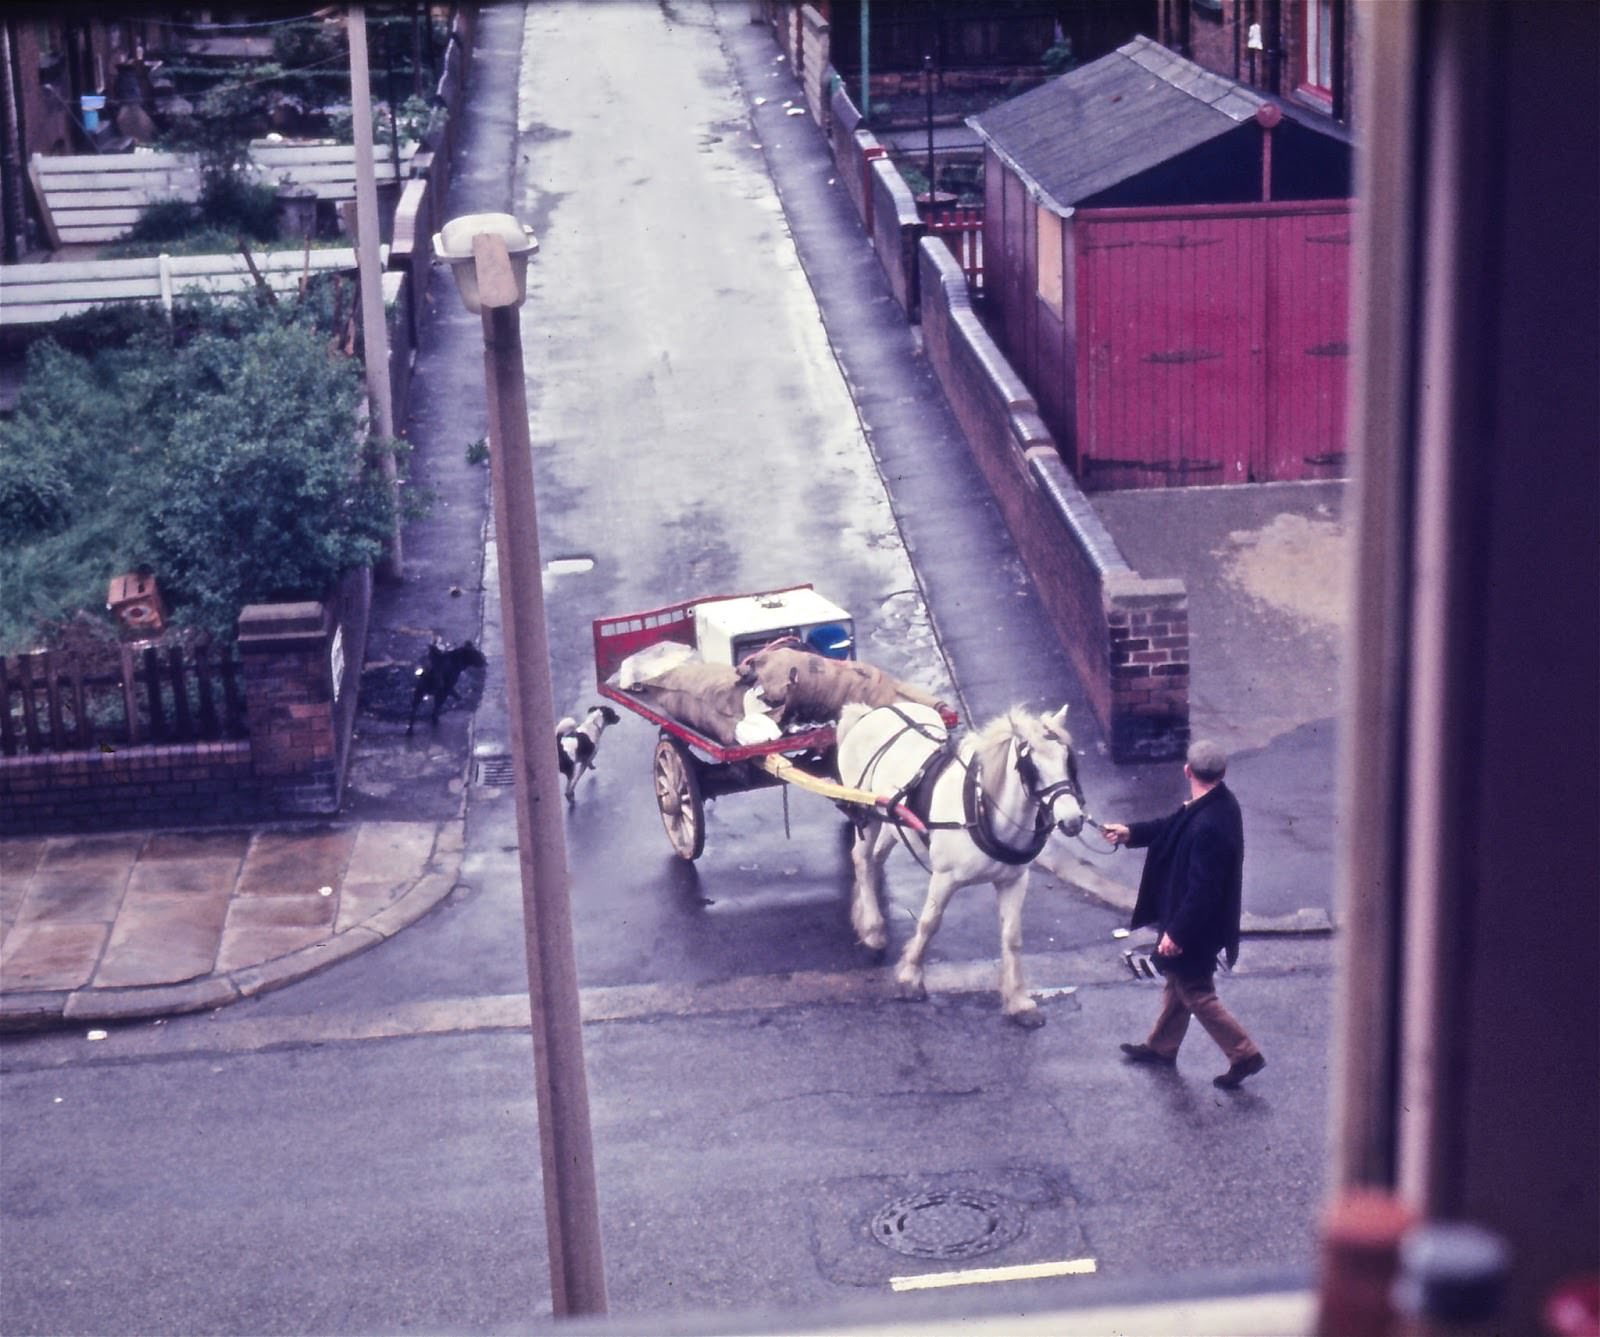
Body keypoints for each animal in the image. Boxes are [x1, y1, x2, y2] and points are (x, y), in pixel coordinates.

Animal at [838, 694, 1088, 1029]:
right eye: (1031, 766)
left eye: (1067, 759)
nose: (1072, 820)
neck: (983, 810)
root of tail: (870, 712)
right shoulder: (944, 877)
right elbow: (929, 923)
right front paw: (910, 977)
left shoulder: (1014, 880)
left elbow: (1012, 937)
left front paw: (1019, 1002)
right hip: (865, 816)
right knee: (862, 861)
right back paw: (874, 933)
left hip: (892, 823)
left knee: (875, 860)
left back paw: (864, 917)